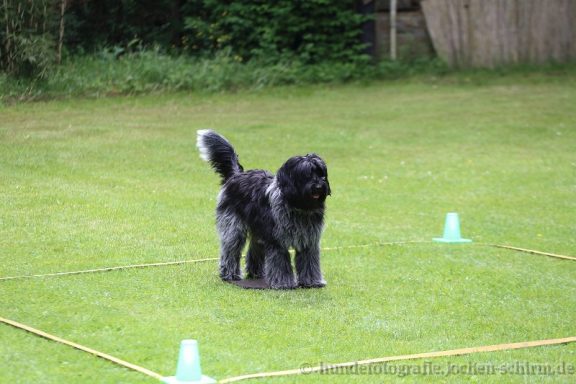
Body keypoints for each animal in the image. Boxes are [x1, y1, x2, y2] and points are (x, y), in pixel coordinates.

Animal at [196, 130, 330, 290]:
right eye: (307, 174)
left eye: (321, 173)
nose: (319, 186)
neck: (298, 205)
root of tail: (236, 175)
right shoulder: (277, 241)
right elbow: (280, 263)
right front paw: (283, 283)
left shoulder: (309, 241)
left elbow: (310, 262)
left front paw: (312, 281)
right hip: (233, 228)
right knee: (230, 250)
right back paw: (229, 274)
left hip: (259, 231)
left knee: (254, 250)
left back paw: (257, 273)